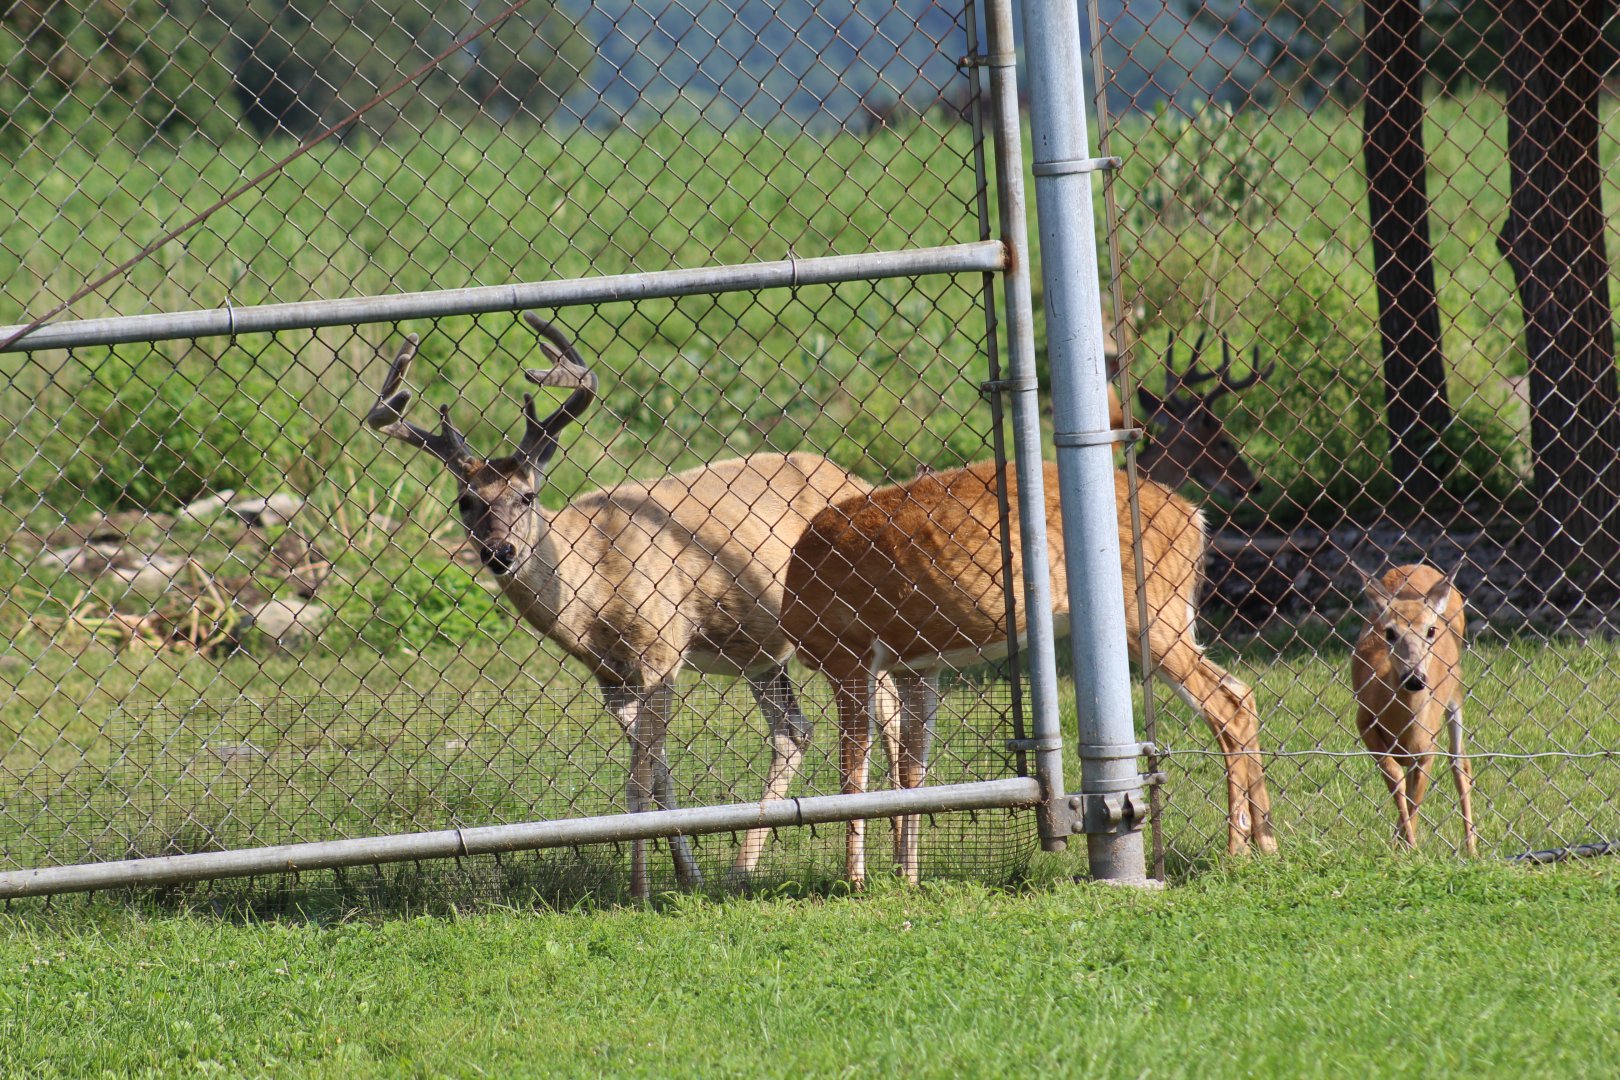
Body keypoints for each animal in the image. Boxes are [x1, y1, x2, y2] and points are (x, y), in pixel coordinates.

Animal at [361, 314, 891, 899]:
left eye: (526, 496)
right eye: (465, 501)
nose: (499, 552)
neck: (593, 592)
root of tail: (863, 481)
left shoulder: (662, 648)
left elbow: (638, 783)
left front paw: (640, 889)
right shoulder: (613, 678)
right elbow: (658, 776)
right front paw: (689, 877)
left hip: (849, 615)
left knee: (881, 717)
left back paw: (865, 869)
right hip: (763, 650)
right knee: (796, 732)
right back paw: (744, 871)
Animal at [781, 458, 1278, 887]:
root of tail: (1193, 516)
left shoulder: (848, 654)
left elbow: (853, 775)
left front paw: (857, 880)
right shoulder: (917, 666)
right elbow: (910, 773)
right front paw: (907, 876)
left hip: (1151, 609)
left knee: (1227, 703)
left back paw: (1237, 849)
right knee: (1242, 692)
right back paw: (1267, 844)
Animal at [1351, 564, 1478, 856]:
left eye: (1431, 630)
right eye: (1389, 632)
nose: (1415, 678)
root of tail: (1419, 567)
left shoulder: (1427, 745)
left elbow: (1415, 794)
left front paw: (1410, 847)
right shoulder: (1364, 720)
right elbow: (1397, 781)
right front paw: (1403, 844)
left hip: (1456, 690)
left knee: (1459, 762)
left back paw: (1472, 848)